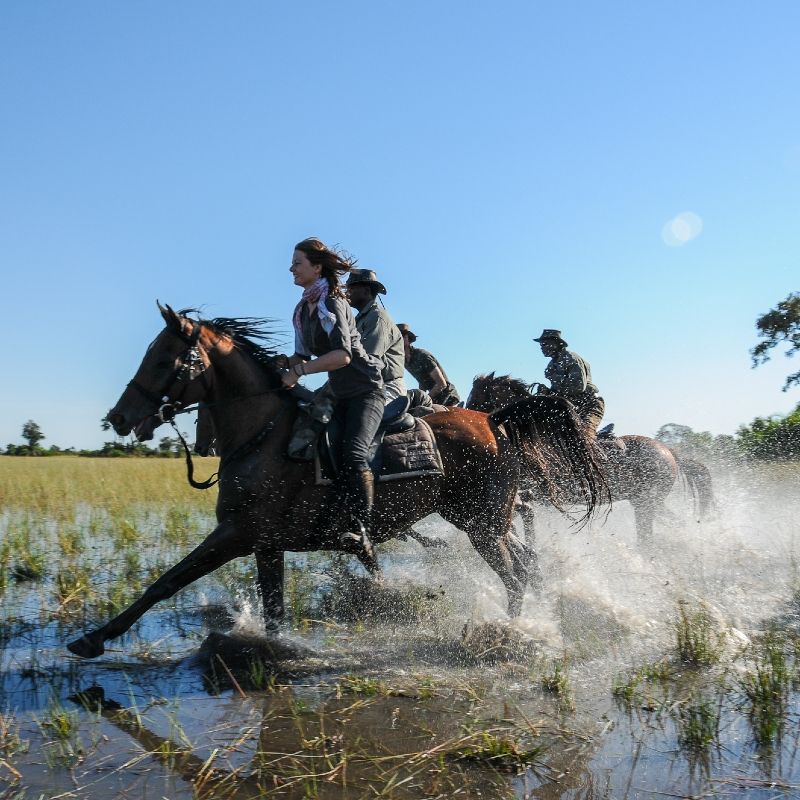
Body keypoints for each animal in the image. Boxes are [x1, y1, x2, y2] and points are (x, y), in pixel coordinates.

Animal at [67, 305, 606, 659]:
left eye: (162, 359)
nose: (119, 418)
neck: (263, 435)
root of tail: (494, 421)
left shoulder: (235, 534)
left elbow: (166, 581)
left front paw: (93, 638)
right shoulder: (266, 544)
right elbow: (273, 609)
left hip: (483, 524)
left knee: (516, 576)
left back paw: (509, 635)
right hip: (484, 521)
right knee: (527, 566)